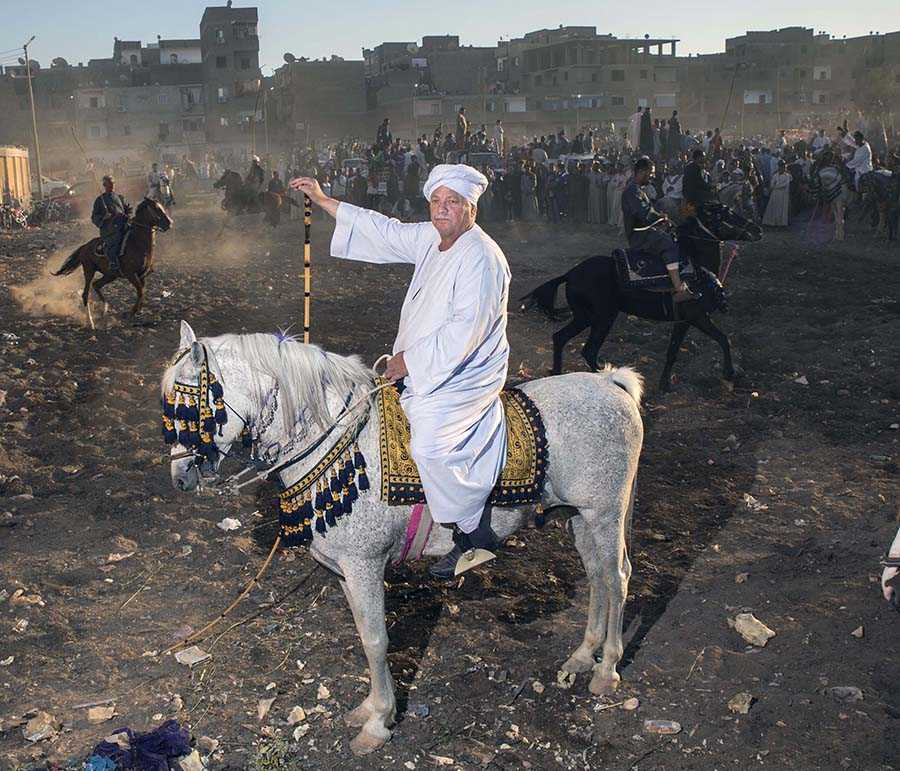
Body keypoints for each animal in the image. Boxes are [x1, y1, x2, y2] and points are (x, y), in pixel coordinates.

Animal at [53, 197, 172, 326]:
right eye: (156, 208)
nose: (169, 223)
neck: (137, 243)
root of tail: (85, 246)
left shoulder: (142, 275)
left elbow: (142, 292)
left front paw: (137, 310)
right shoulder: (131, 274)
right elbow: (140, 292)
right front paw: (131, 312)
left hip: (110, 275)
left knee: (96, 285)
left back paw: (104, 308)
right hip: (89, 271)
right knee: (86, 294)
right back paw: (91, 322)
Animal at [164, 321, 644, 755]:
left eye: (186, 408)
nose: (181, 477)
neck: (340, 439)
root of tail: (610, 383)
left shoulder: (365, 566)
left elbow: (377, 641)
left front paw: (378, 723)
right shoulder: (347, 571)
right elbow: (366, 635)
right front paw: (371, 708)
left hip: (605, 514)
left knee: (617, 577)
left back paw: (606, 670)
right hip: (578, 517)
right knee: (598, 577)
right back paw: (583, 656)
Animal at [522, 205, 762, 392]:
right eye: (726, 213)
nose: (758, 229)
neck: (696, 270)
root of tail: (570, 273)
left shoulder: (690, 320)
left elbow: (691, 346)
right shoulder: (694, 318)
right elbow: (713, 341)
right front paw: (728, 373)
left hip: (585, 317)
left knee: (561, 338)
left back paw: (559, 373)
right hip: (602, 317)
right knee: (588, 349)